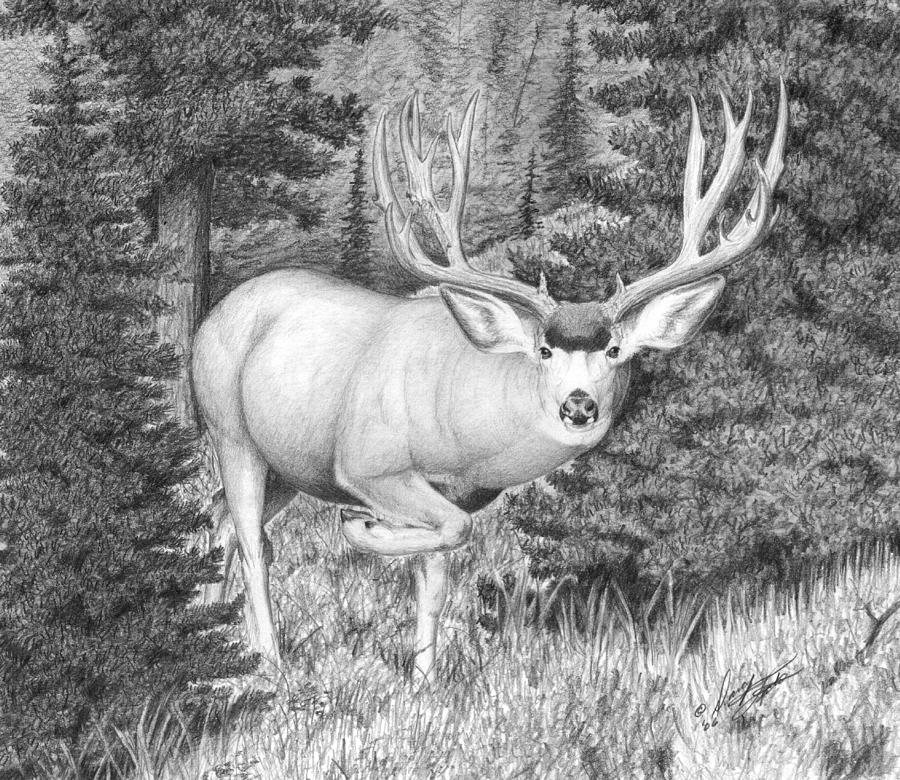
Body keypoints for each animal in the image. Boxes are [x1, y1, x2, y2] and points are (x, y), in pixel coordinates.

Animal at [192, 82, 788, 683]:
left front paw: (424, 679)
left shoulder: (450, 493)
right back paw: (270, 658)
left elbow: (434, 578)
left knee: (221, 518)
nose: (579, 406)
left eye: (615, 351)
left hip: (289, 466)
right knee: (251, 540)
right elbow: (454, 531)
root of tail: (216, 313)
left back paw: (227, 638)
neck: (464, 436)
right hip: (231, 431)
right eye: (544, 350)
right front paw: (364, 529)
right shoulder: (367, 463)